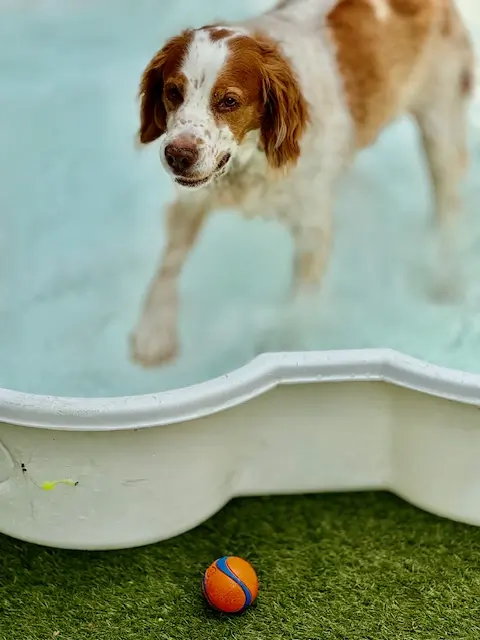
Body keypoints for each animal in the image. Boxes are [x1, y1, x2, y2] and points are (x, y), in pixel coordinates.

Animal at [129, 0, 474, 368]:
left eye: (228, 101)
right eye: (172, 92)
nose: (178, 155)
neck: (250, 161)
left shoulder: (313, 226)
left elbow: (301, 299)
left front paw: (286, 352)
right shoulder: (193, 199)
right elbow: (170, 260)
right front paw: (154, 329)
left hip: (441, 124)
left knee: (449, 203)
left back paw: (447, 278)